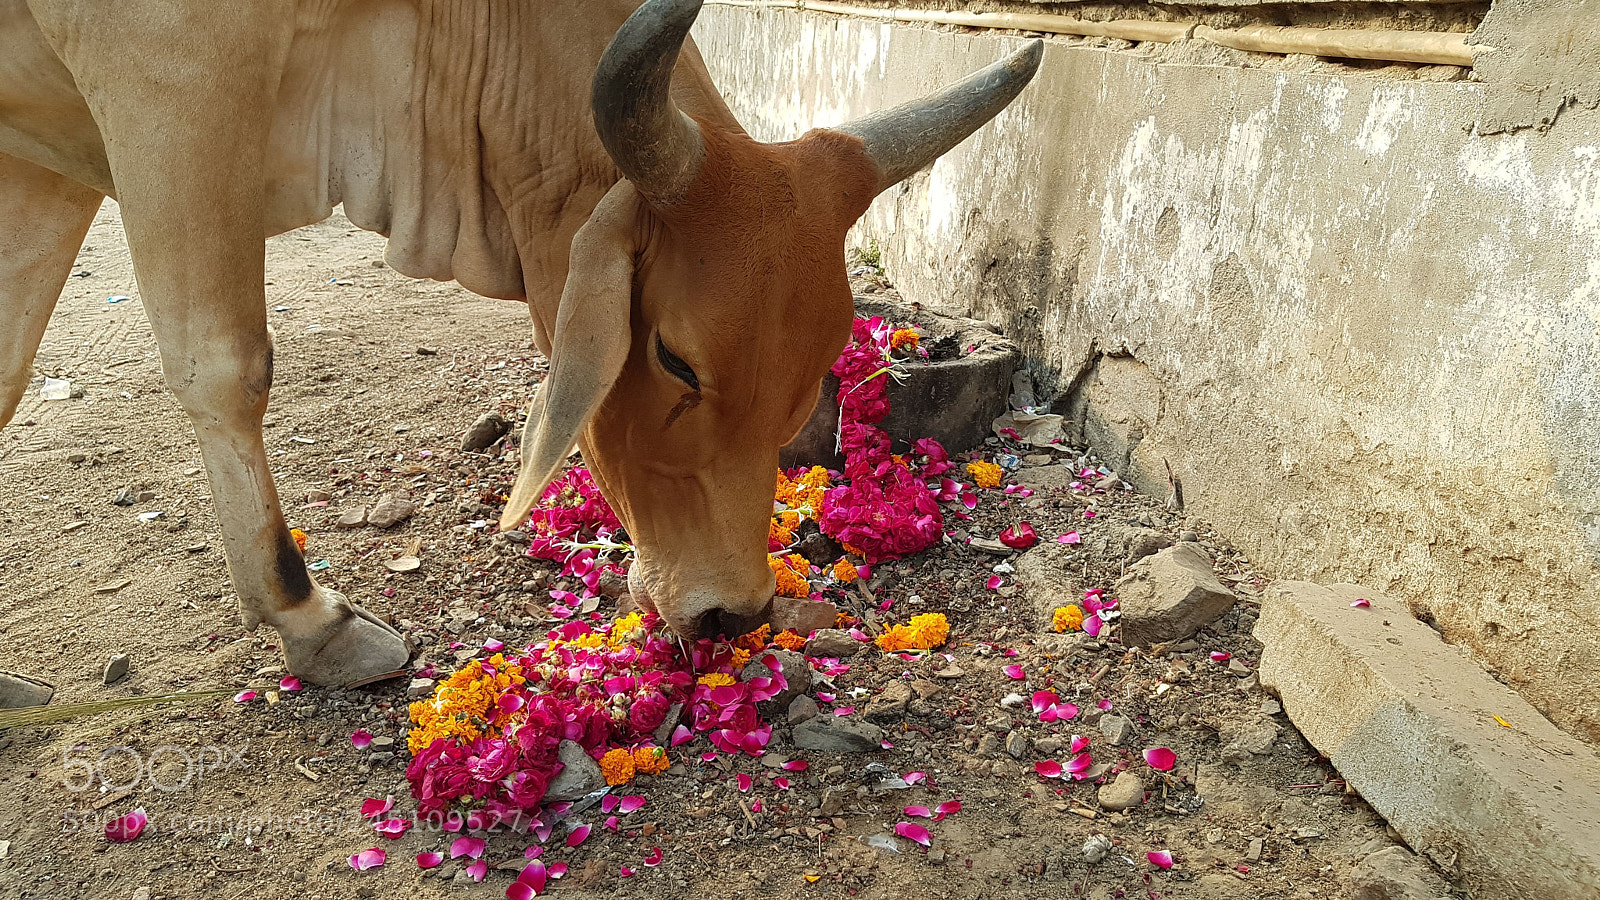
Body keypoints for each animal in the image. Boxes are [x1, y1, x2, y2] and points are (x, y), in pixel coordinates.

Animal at [0, 0, 1041, 692]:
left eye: (810, 380)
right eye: (673, 360)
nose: (732, 614)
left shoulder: (44, 156)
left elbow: (9, 371)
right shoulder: (171, 71)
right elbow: (225, 366)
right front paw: (314, 623)